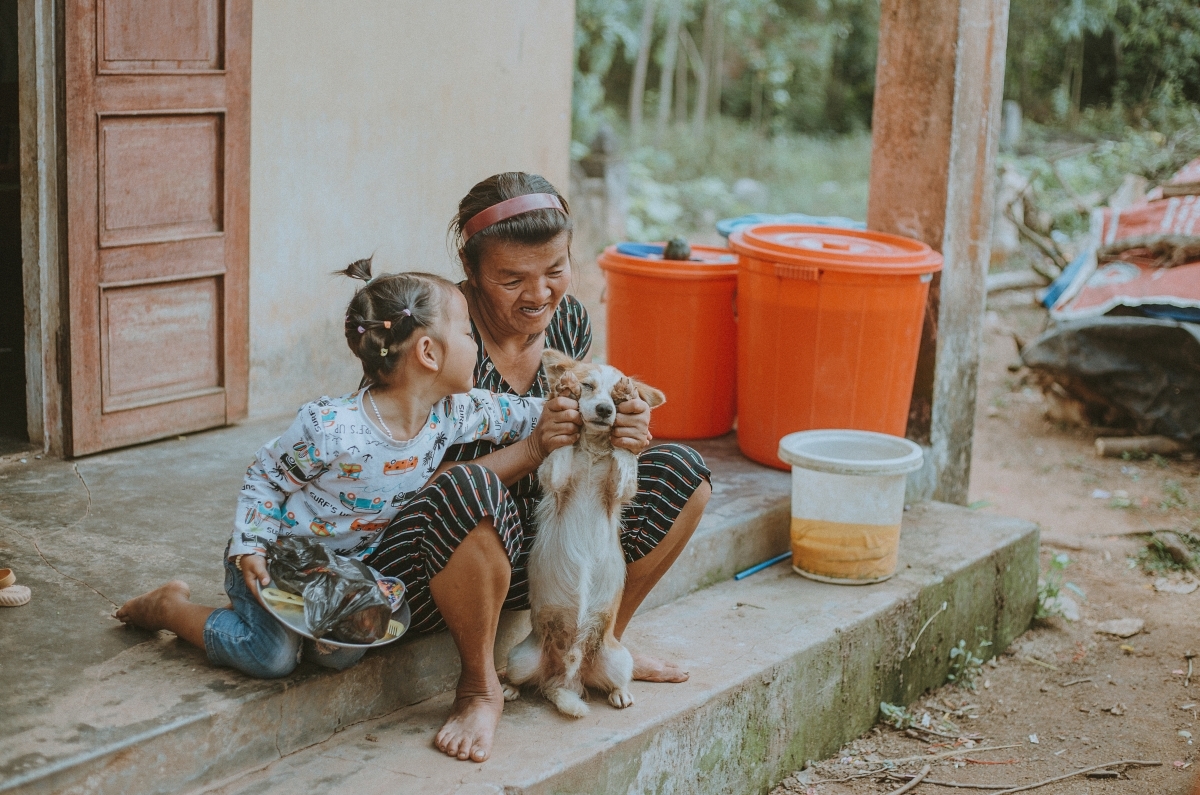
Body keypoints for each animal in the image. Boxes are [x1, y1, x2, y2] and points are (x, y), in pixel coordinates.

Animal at [499, 353, 662, 720]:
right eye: (588, 386)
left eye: (614, 399)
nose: (604, 409)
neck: (592, 450)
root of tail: (566, 678)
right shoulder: (556, 479)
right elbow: (560, 448)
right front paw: (564, 388)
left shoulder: (618, 491)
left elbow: (624, 457)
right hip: (519, 658)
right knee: (519, 678)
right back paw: (508, 689)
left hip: (617, 659)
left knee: (615, 681)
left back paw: (621, 694)